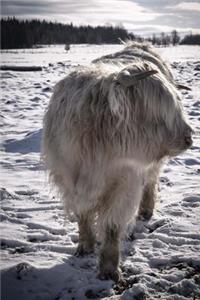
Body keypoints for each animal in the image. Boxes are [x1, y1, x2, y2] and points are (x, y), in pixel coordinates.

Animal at [43, 42, 193, 284]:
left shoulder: (125, 183)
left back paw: (145, 211)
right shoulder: (69, 180)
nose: (189, 137)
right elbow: (83, 215)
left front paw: (108, 269)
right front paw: (85, 246)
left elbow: (112, 225)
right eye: (158, 109)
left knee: (150, 182)